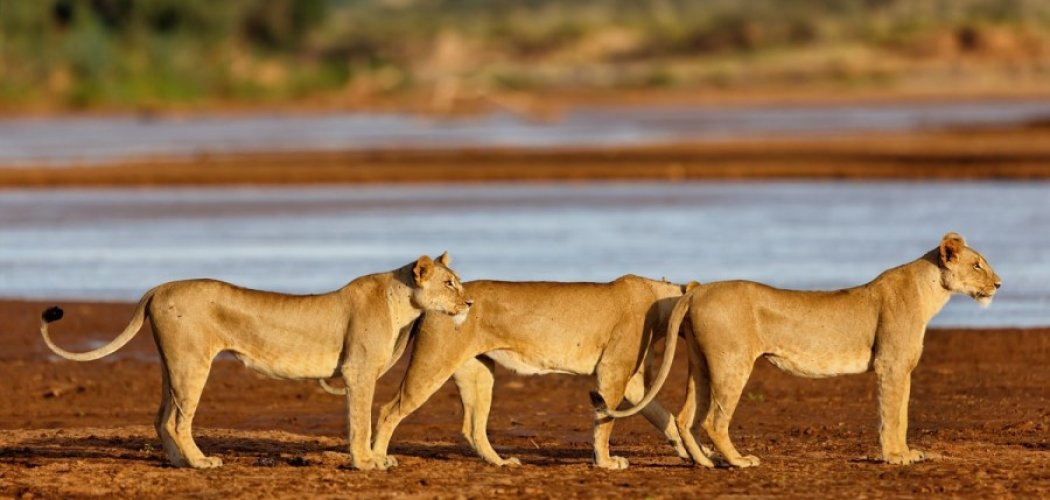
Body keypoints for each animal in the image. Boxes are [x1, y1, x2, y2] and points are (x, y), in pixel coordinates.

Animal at [40, 253, 471, 470]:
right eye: (449, 282)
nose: (468, 302)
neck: (403, 304)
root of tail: (160, 287)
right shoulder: (358, 372)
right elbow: (360, 421)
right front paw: (367, 463)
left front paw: (375, 459)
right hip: (193, 364)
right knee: (179, 421)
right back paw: (201, 462)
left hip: (172, 364)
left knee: (161, 417)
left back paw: (179, 462)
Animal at [338, 275, 698, 470]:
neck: (659, 301)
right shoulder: (612, 373)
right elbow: (605, 421)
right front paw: (607, 463)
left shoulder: (633, 383)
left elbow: (663, 415)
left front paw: (691, 452)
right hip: (433, 364)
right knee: (389, 410)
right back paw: (379, 459)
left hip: (478, 372)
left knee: (472, 427)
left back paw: (500, 463)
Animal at [596, 233, 1000, 467]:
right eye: (977, 264)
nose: (998, 283)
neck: (931, 292)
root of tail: (697, 290)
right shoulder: (891, 364)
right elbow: (892, 414)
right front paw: (896, 457)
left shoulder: (902, 368)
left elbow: (901, 411)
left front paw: (907, 453)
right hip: (732, 363)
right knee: (713, 420)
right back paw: (739, 461)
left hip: (701, 364)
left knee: (685, 418)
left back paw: (706, 464)